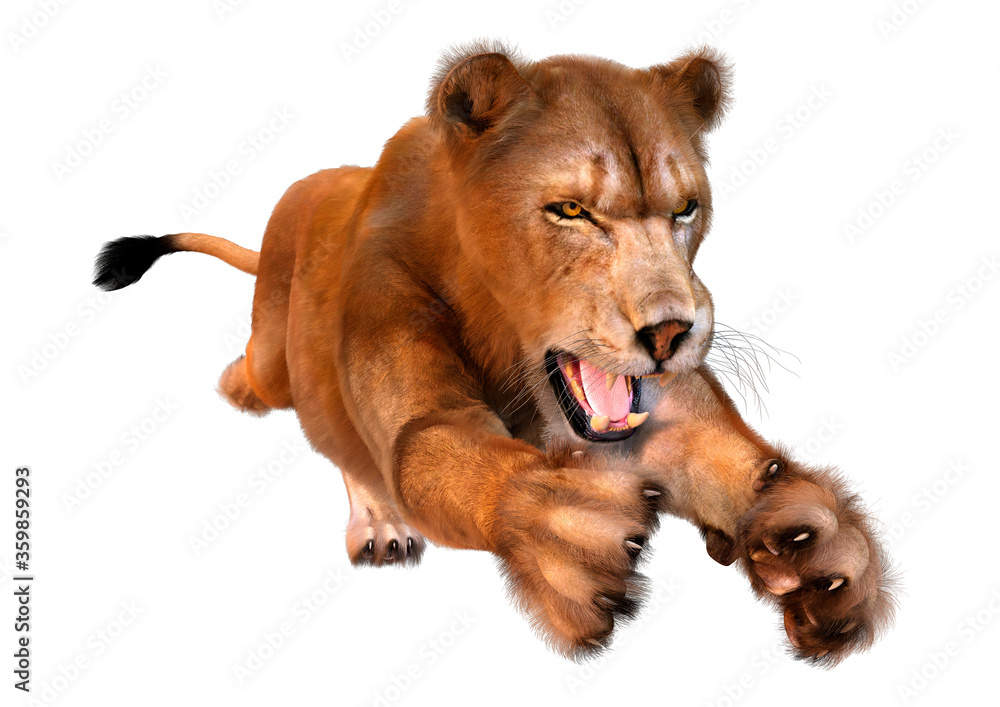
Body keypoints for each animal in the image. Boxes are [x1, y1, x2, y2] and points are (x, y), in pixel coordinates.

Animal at [93, 41, 895, 664]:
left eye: (684, 209)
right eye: (570, 210)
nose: (672, 332)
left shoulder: (665, 416)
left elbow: (730, 459)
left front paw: (813, 548)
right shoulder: (411, 366)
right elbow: (437, 450)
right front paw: (564, 534)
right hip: (273, 359)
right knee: (291, 400)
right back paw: (363, 506)